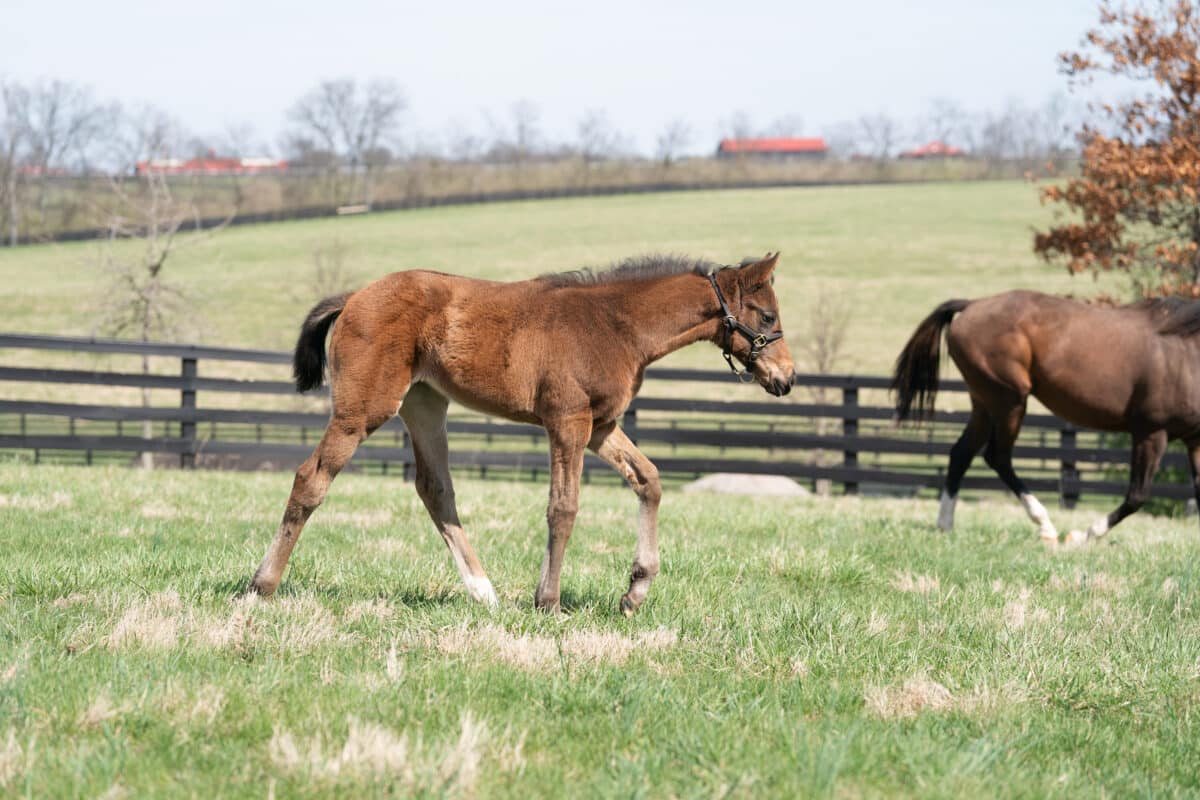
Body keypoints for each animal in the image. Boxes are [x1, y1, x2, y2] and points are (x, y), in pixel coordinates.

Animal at [250, 255, 796, 614]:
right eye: (768, 316)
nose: (787, 378)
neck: (615, 326)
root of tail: (353, 298)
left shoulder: (601, 427)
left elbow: (650, 480)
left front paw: (634, 591)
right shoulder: (568, 423)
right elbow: (564, 508)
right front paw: (547, 600)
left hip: (424, 405)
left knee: (435, 489)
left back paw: (483, 591)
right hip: (364, 409)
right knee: (312, 478)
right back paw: (262, 584)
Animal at [892, 291, 1200, 546]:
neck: (1187, 352)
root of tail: (972, 305)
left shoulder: (1194, 441)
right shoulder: (1151, 433)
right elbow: (1137, 495)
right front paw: (1083, 535)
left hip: (984, 403)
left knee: (961, 454)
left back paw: (945, 524)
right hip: (1009, 401)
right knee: (997, 457)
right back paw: (1045, 526)